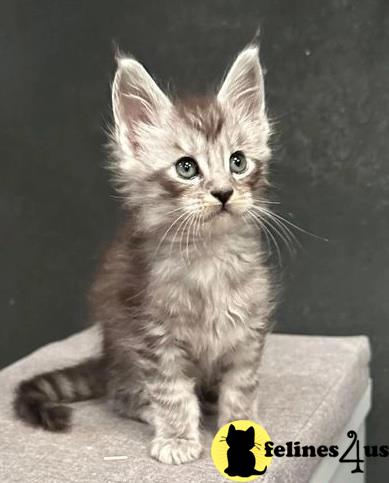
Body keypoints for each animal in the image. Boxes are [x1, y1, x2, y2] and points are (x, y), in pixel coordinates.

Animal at [14, 45, 276, 466]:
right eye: (186, 168)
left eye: (238, 162)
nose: (223, 193)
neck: (208, 256)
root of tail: (106, 358)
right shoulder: (153, 332)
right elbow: (171, 392)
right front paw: (178, 437)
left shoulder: (249, 328)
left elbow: (242, 385)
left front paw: (240, 425)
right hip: (125, 349)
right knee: (121, 396)